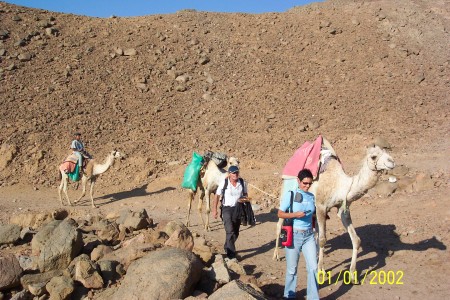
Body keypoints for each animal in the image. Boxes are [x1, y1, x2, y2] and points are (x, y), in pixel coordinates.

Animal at [270, 141, 394, 282]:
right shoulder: (320, 206)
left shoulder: (343, 209)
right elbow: (323, 239)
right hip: (286, 194)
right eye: (373, 156)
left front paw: (352, 275)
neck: (339, 184)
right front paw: (320, 272)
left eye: (386, 152)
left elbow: (356, 240)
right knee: (280, 224)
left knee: (315, 231)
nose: (392, 161)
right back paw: (276, 255)